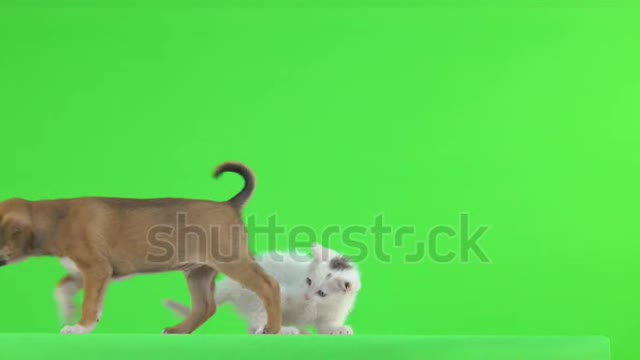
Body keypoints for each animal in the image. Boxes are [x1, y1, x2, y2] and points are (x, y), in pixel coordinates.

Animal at [0, 163, 280, 334]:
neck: (56, 219)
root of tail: (229, 204)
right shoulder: (86, 273)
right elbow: (62, 288)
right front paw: (66, 312)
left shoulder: (96, 270)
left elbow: (89, 303)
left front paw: (81, 327)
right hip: (198, 272)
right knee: (205, 307)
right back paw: (179, 330)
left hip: (232, 261)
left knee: (269, 286)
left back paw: (272, 329)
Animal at [164, 243, 360, 336]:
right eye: (308, 281)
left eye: (322, 293)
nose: (306, 296)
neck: (314, 306)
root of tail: (229, 284)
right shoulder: (284, 291)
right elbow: (268, 315)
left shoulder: (331, 313)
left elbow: (327, 326)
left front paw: (340, 329)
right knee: (258, 320)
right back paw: (285, 330)